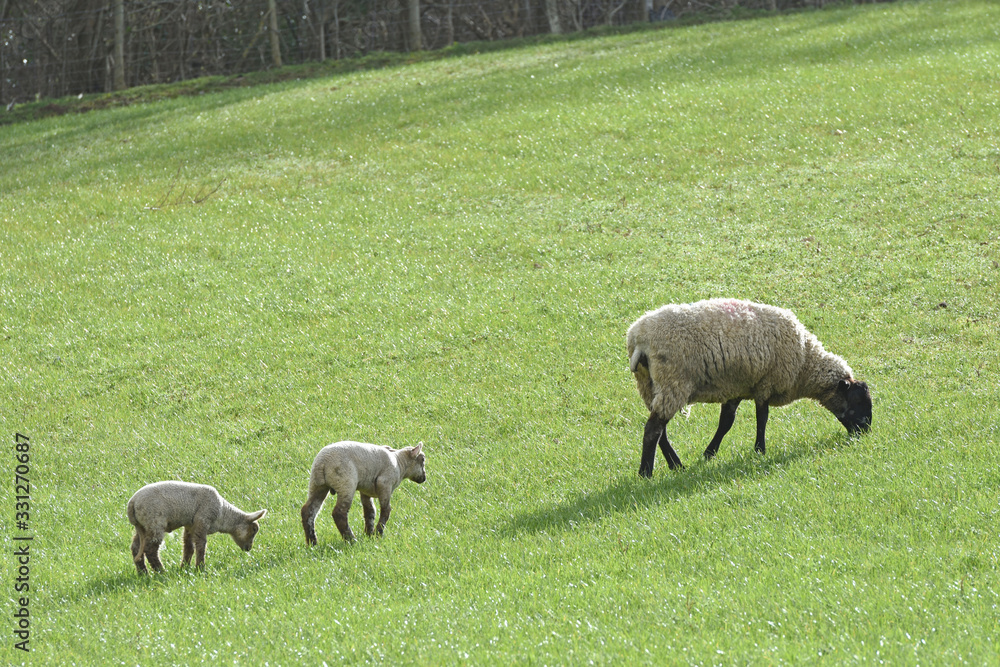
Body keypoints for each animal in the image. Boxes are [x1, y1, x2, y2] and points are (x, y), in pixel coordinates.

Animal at [127, 481, 267, 573]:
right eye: (254, 530)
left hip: (143, 526)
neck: (223, 514)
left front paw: (184, 568)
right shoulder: (202, 520)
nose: (248, 548)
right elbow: (200, 546)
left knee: (136, 547)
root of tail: (132, 503)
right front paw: (200, 568)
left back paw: (143, 573)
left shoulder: (190, 525)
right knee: (150, 549)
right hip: (155, 522)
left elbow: (189, 547)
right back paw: (161, 572)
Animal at [626, 298, 872, 476]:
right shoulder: (765, 383)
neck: (805, 361)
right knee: (653, 430)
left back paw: (676, 465)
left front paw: (709, 454)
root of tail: (639, 340)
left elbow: (726, 423)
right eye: (858, 401)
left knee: (660, 431)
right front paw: (760, 450)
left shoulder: (736, 388)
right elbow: (762, 418)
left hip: (649, 384)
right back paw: (646, 473)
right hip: (673, 382)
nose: (865, 432)